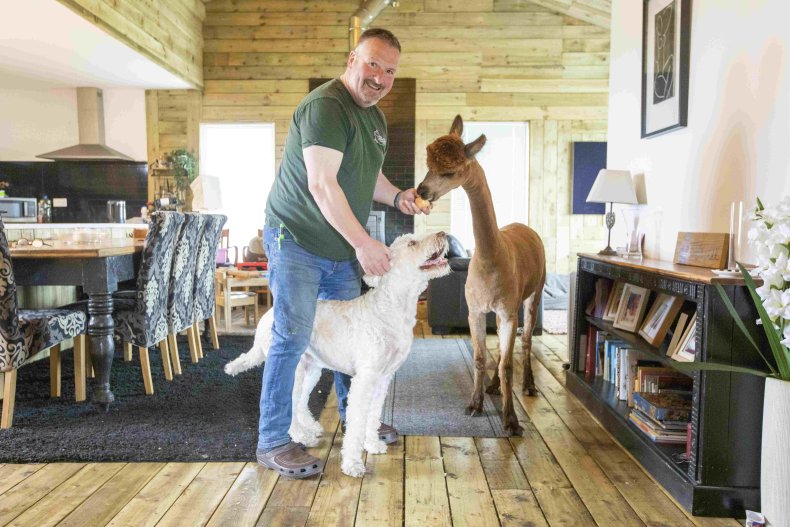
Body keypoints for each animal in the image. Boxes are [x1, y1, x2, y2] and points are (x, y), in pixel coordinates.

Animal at [226, 231, 454, 478]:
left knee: (301, 402)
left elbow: (372, 416)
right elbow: (356, 424)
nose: (443, 233)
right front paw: (352, 464)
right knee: (288, 403)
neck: (392, 308)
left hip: (312, 369)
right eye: (412, 243)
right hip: (293, 366)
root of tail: (266, 316)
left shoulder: (383, 378)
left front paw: (372, 444)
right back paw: (301, 436)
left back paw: (310, 428)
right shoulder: (365, 378)